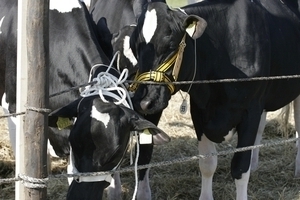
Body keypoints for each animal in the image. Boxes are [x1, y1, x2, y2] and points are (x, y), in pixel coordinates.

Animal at [131, 0, 300, 199]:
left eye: (170, 45)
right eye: (135, 47)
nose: (142, 102)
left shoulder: (250, 111)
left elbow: (240, 168)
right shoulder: (200, 110)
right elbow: (207, 163)